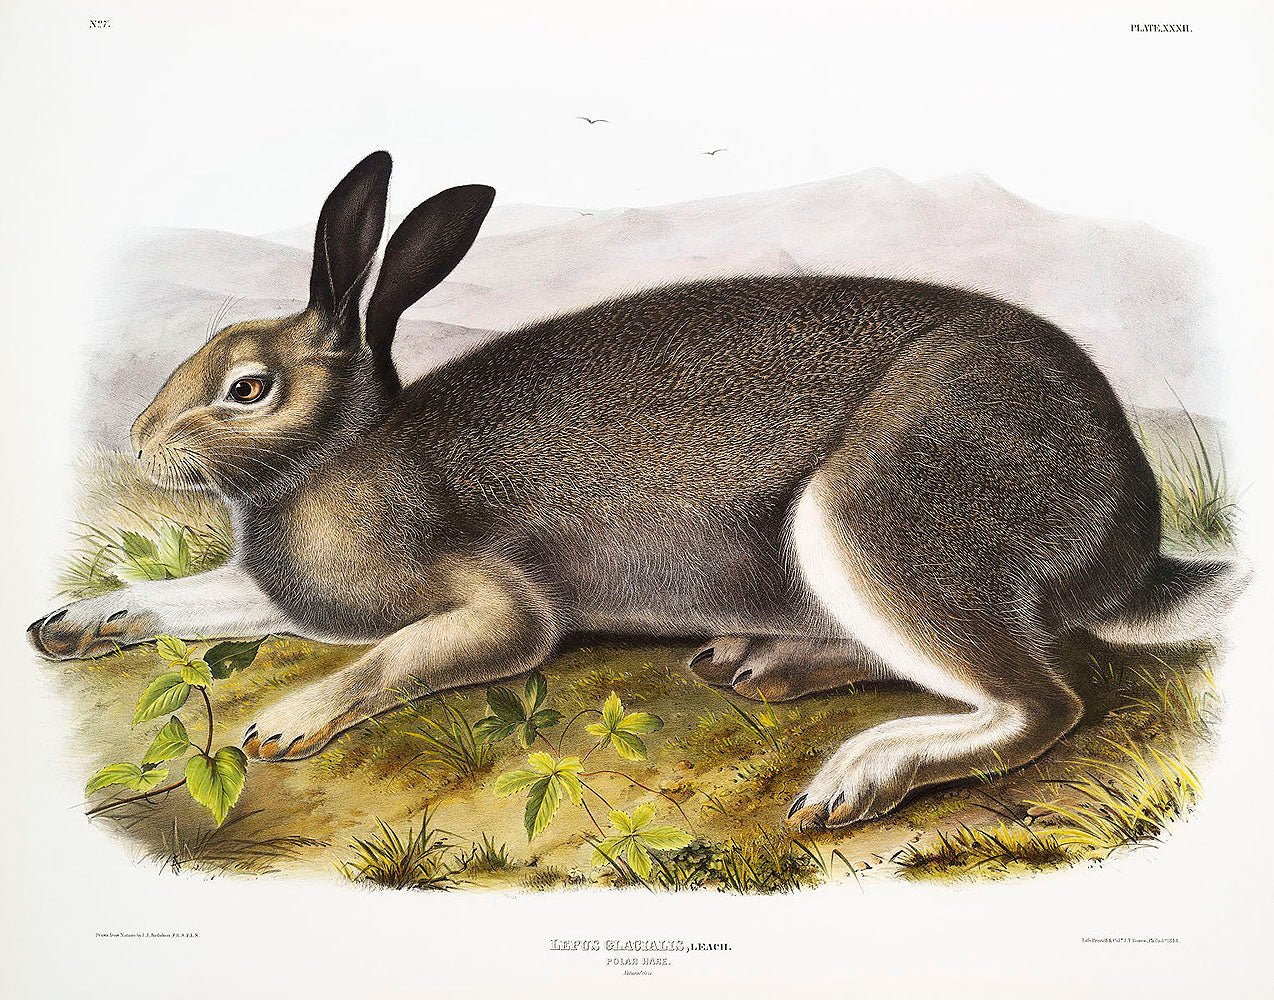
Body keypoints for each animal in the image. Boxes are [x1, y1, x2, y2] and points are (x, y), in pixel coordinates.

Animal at [28, 151, 1249, 829]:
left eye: (246, 386)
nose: (137, 443)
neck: (343, 452)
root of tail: (1129, 537)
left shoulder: (498, 608)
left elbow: (406, 655)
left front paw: (285, 725)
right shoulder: (273, 594)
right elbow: (193, 599)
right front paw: (70, 624)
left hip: (874, 518)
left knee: (1040, 701)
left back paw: (854, 773)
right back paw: (757, 663)